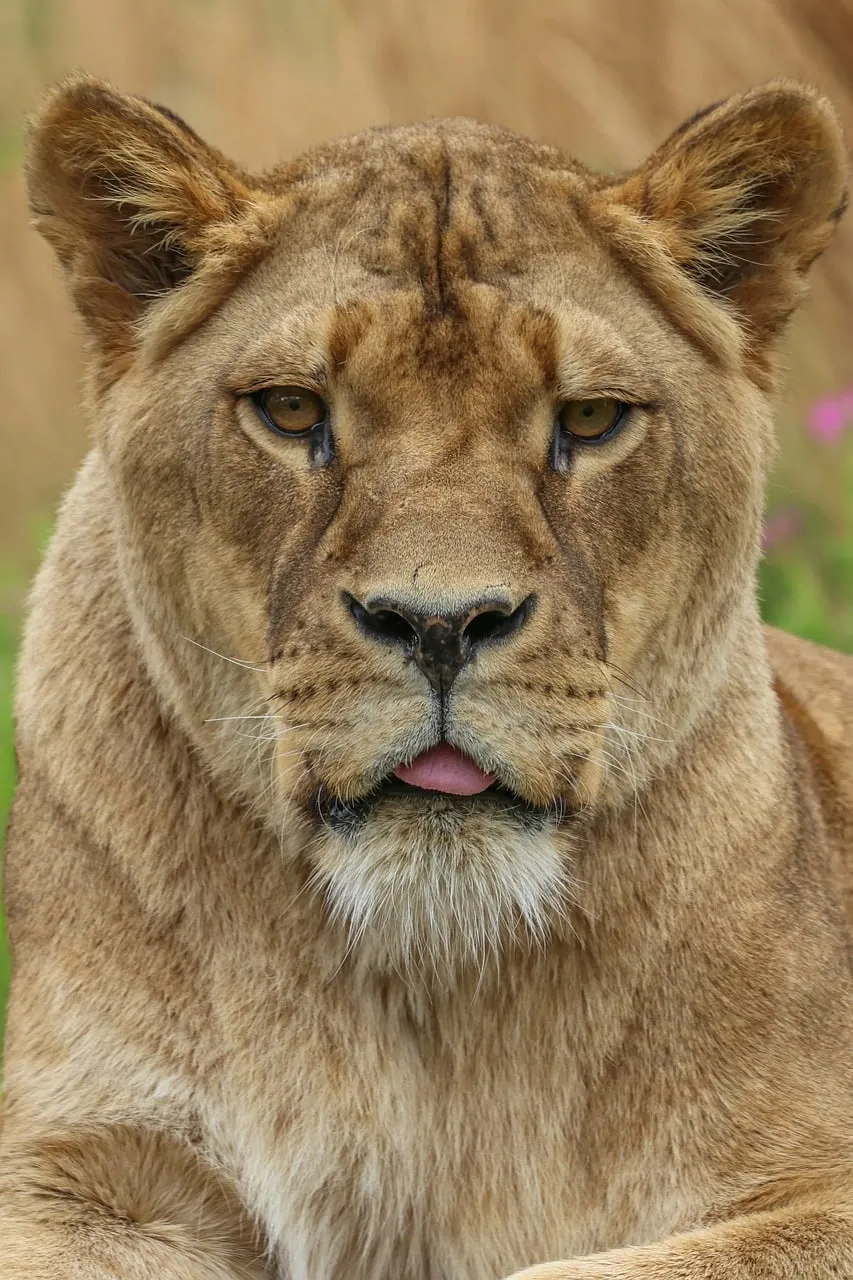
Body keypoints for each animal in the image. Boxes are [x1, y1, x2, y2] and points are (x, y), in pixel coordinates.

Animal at [1, 70, 852, 1279]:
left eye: (590, 419)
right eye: (292, 410)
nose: (441, 622)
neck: (426, 979)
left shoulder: (816, 1184)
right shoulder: (83, 1169)